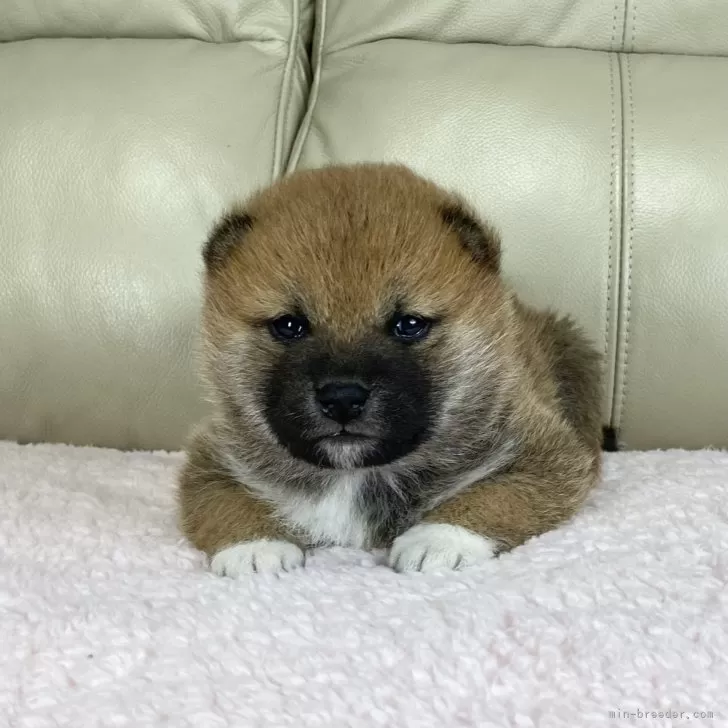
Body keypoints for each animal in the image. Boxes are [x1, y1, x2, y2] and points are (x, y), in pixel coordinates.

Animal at [178, 164, 604, 576]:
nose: (343, 399)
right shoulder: (210, 459)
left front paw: (438, 540)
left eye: (409, 324)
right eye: (288, 325)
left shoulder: (549, 453)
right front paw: (254, 548)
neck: (354, 475)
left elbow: (499, 495)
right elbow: (224, 504)